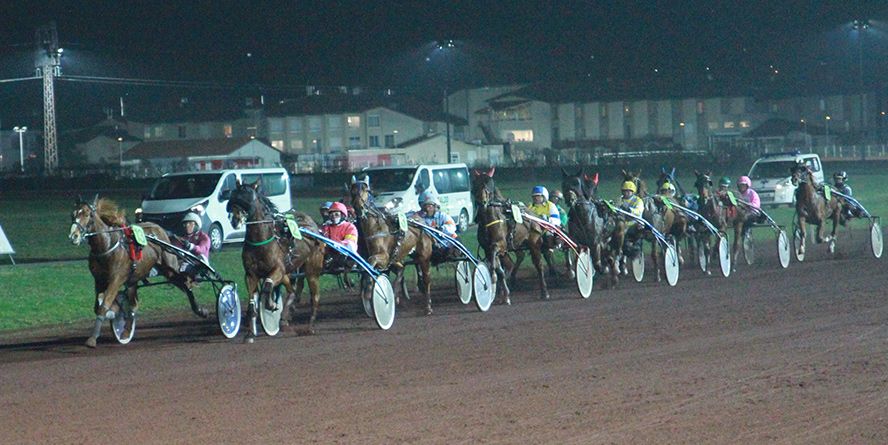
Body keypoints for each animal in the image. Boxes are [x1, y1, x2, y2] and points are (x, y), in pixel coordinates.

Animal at [68, 194, 207, 346]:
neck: (108, 246)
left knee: (185, 283)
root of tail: (158, 228)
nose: (73, 236)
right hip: (134, 278)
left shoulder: (116, 279)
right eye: (73, 214)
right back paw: (126, 332)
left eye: (88, 214)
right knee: (134, 305)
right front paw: (115, 311)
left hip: (169, 268)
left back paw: (200, 310)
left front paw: (92, 339)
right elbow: (98, 306)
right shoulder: (99, 281)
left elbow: (104, 305)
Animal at [225, 180, 326, 332]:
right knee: (292, 291)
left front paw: (271, 305)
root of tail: (312, 225)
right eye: (233, 196)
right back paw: (284, 317)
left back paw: (310, 326)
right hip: (290, 272)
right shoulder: (250, 274)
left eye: (247, 198)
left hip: (312, 270)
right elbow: (252, 298)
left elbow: (267, 287)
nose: (235, 220)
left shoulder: (277, 270)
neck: (261, 241)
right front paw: (250, 326)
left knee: (315, 297)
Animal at [346, 175, 438, 314]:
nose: (358, 207)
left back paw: (428, 306)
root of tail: (423, 223)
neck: (375, 228)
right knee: (401, 269)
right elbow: (367, 267)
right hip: (398, 257)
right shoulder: (384, 259)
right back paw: (395, 295)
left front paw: (369, 291)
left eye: (365, 190)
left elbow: (371, 261)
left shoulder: (383, 257)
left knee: (427, 280)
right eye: (352, 190)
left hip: (424, 257)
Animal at [472, 168, 548, 304]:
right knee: (512, 263)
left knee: (539, 266)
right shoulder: (487, 249)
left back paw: (544, 292)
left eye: (489, 185)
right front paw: (505, 295)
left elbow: (495, 256)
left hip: (534, 244)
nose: (482, 202)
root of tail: (534, 216)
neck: (488, 220)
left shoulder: (500, 244)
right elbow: (499, 269)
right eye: (476, 184)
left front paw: (492, 277)